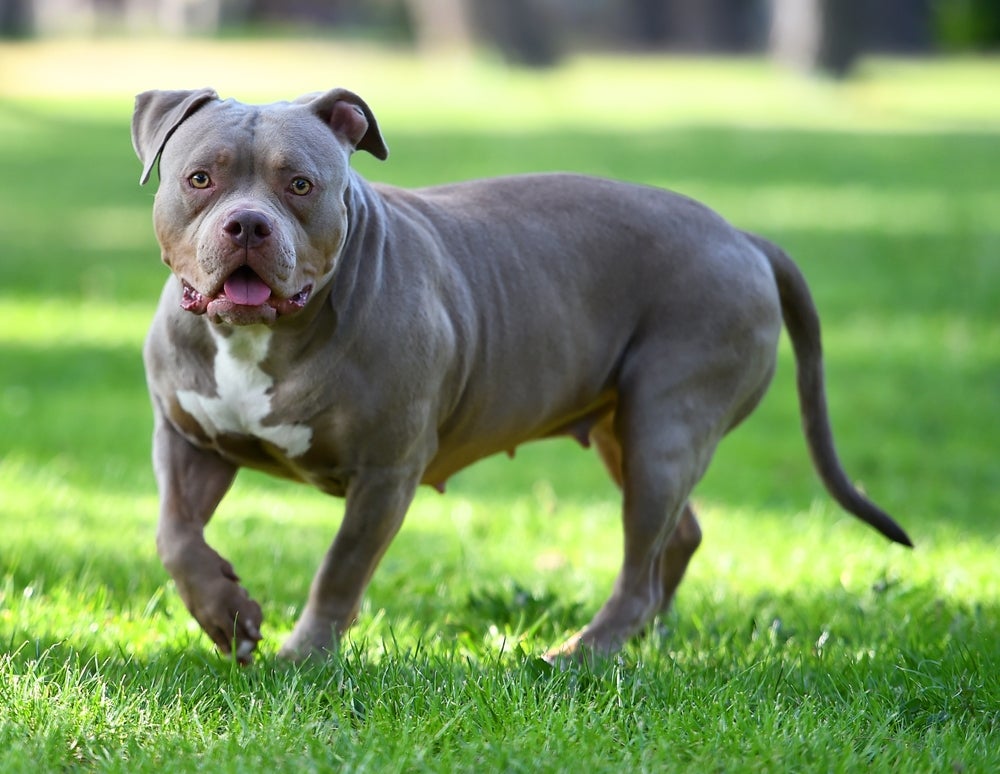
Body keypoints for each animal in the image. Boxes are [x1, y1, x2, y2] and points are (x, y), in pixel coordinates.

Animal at [129, 86, 912, 668]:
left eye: (300, 185)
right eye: (200, 179)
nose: (248, 226)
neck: (258, 337)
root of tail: (741, 236)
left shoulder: (385, 473)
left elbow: (340, 566)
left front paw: (305, 653)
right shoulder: (186, 440)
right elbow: (175, 536)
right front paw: (227, 617)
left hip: (666, 425)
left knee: (643, 556)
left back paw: (584, 653)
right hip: (626, 431)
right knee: (677, 538)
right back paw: (645, 638)